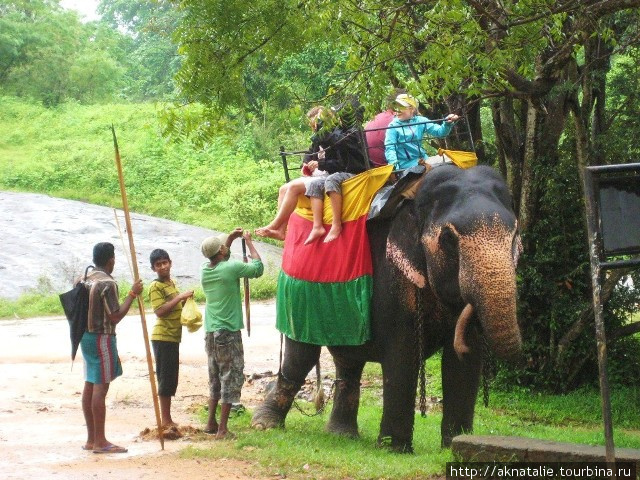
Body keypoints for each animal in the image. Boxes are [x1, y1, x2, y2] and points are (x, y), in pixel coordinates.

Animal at [252, 164, 524, 450]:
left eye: (515, 236)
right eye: (448, 239)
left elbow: (464, 365)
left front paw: (453, 445)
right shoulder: (391, 280)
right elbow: (402, 355)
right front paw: (395, 449)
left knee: (348, 361)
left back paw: (341, 435)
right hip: (293, 293)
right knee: (300, 356)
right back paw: (265, 425)